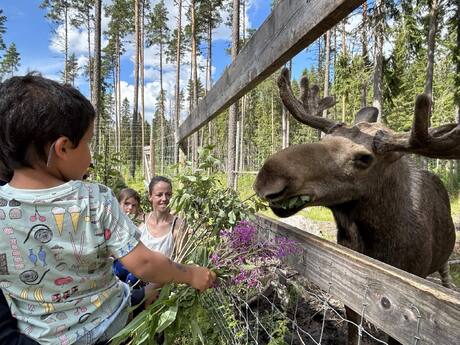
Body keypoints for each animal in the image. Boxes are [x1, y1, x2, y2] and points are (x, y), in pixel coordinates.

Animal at [253, 68, 458, 344]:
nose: (268, 175)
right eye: (325, 137)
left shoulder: (404, 307)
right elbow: (353, 331)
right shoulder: (350, 289)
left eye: (364, 158)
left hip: (442, 262)